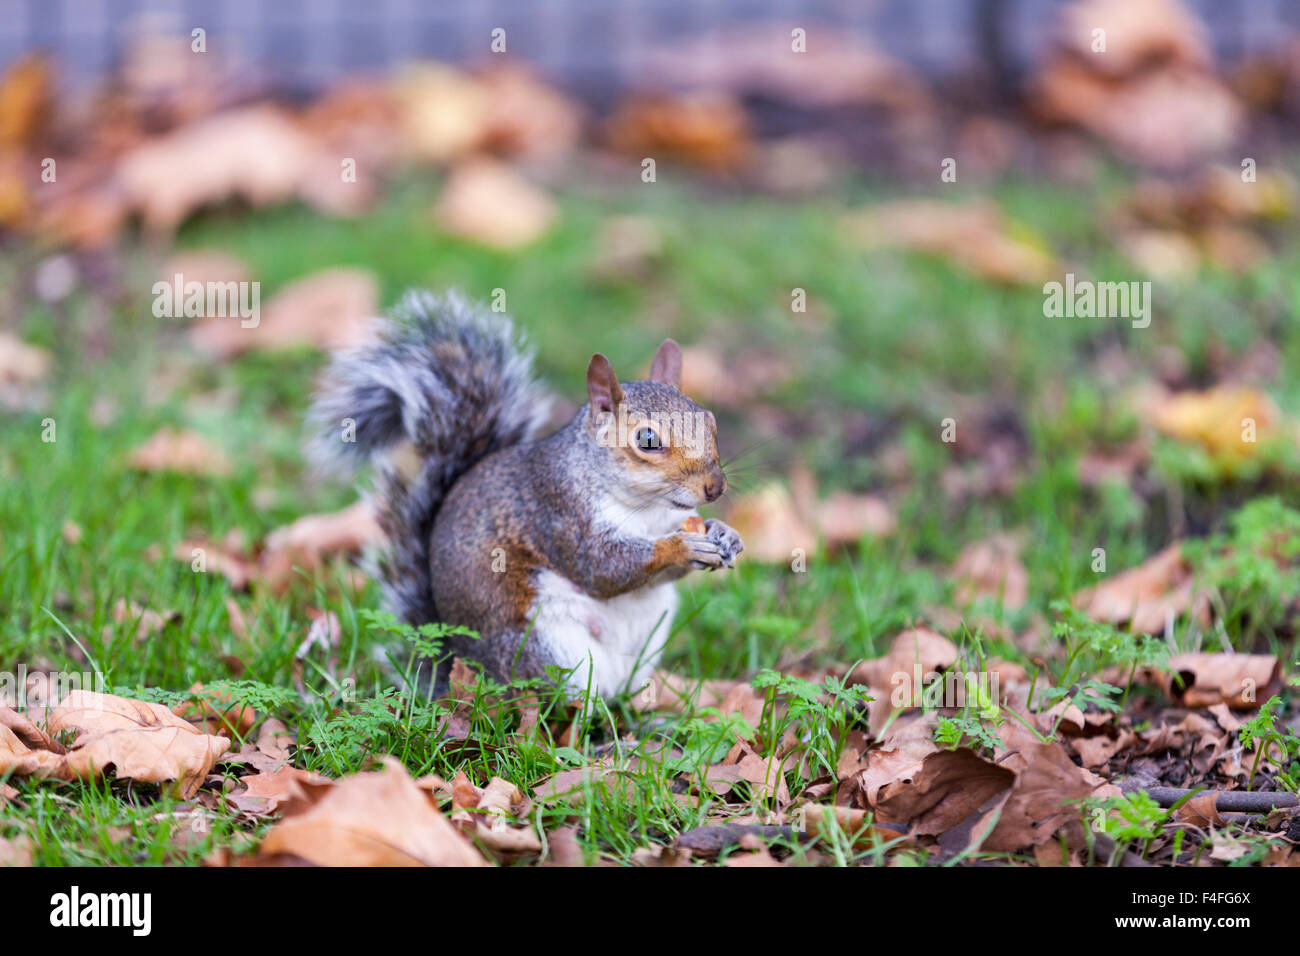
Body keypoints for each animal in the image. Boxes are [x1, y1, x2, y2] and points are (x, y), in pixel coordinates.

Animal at [308, 287, 748, 697]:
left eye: (710, 422)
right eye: (647, 440)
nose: (715, 487)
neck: (651, 510)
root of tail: (457, 675)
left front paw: (724, 534)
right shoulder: (559, 513)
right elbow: (603, 568)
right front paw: (679, 547)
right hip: (550, 650)